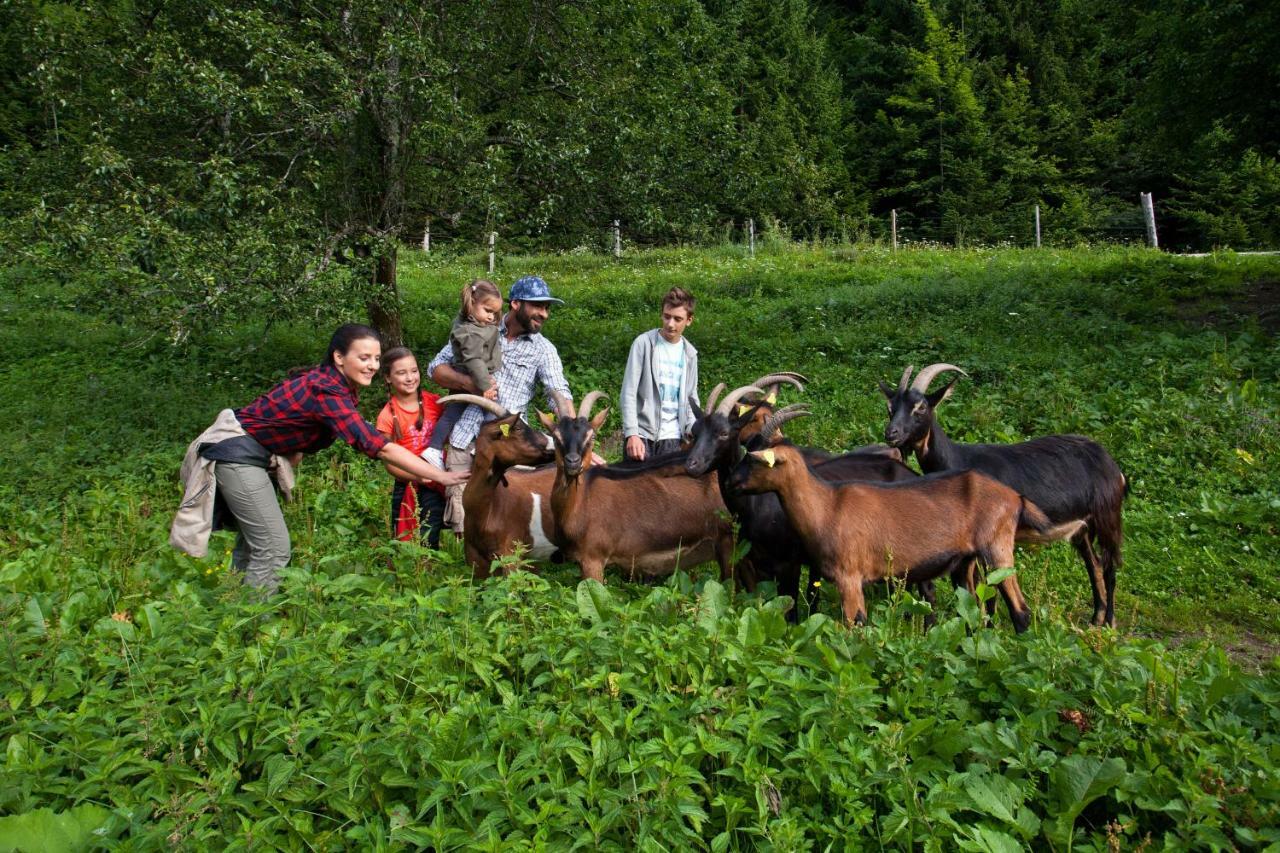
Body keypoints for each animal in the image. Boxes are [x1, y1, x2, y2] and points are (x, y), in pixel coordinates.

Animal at [540, 391, 737, 584]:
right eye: (556, 437)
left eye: (591, 437)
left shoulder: (593, 557)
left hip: (729, 542)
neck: (582, 501)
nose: (573, 462)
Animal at [727, 440, 1075, 627]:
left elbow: (856, 628)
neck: (826, 506)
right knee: (973, 614)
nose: (732, 482)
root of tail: (1015, 498)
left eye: (754, 460)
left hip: (997, 550)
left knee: (1021, 611)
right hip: (965, 563)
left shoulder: (849, 577)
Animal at [880, 361, 1131, 625]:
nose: (891, 434)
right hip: (1082, 527)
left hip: (1107, 515)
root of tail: (1113, 467)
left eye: (920, 407)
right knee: (1094, 564)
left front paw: (988, 626)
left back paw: (1109, 621)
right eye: (890, 407)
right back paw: (1096, 618)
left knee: (1110, 566)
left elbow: (988, 590)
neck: (958, 459)